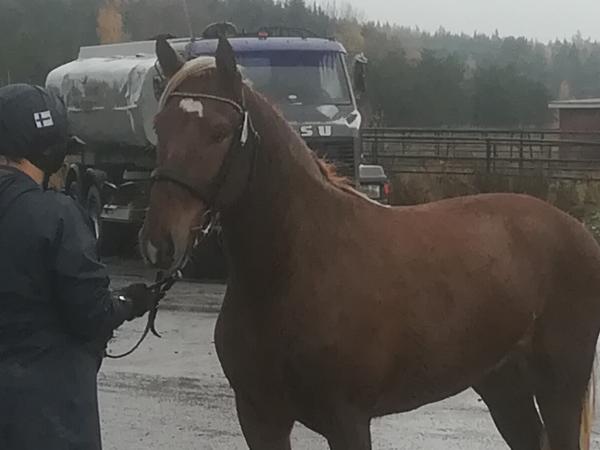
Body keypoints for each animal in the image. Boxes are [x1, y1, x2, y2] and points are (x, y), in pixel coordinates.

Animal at [140, 36, 600, 450]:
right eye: (160, 127)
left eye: (219, 132)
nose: (159, 242)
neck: (293, 269)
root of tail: (576, 231)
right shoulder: (260, 417)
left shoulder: (347, 420)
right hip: (501, 383)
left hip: (560, 386)